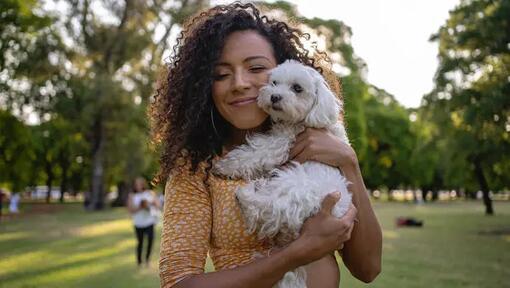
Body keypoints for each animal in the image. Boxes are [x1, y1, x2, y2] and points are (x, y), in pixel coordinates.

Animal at [213, 59, 352, 286]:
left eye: (297, 88)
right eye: (274, 83)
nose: (274, 96)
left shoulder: (282, 142)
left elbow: (255, 152)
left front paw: (225, 166)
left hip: (293, 184)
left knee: (262, 207)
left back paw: (247, 193)